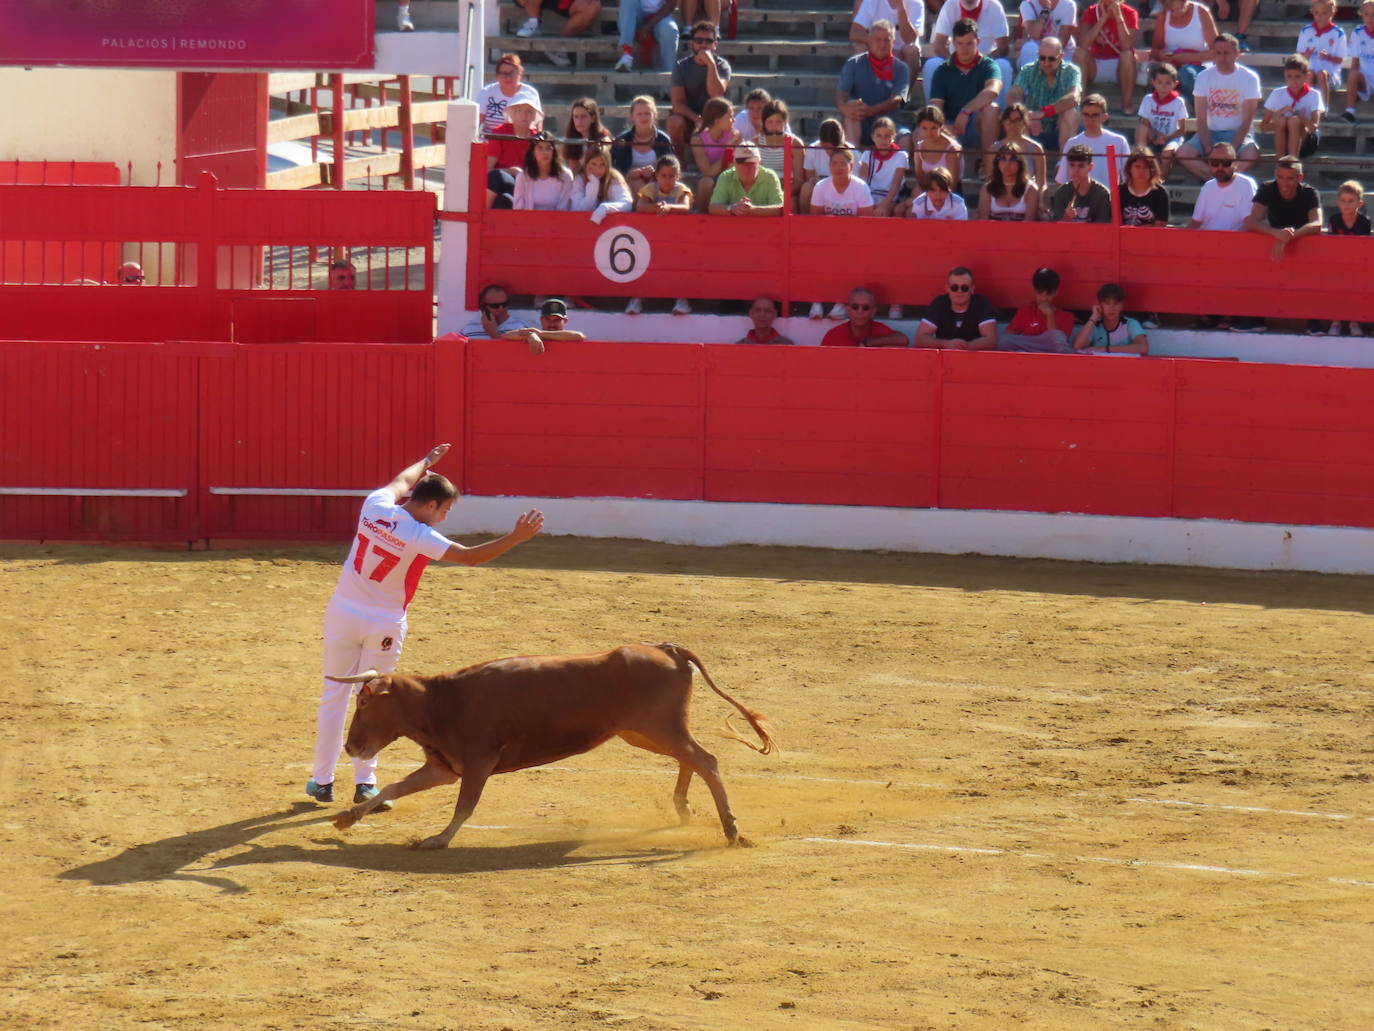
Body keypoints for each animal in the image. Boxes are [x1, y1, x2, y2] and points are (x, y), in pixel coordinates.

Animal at [321, 643, 774, 852]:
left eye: (365, 702)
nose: (352, 746)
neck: (441, 700)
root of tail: (666, 649)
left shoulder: (478, 762)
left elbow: (465, 805)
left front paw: (438, 839)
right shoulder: (445, 767)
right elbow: (396, 787)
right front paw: (347, 817)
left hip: (658, 729)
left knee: (705, 760)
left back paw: (731, 829)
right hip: (645, 733)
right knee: (690, 759)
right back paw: (683, 809)